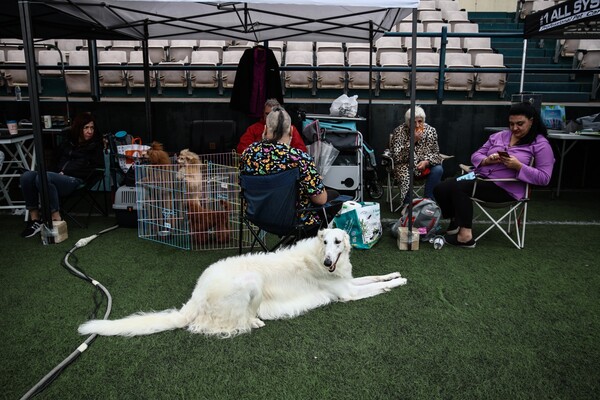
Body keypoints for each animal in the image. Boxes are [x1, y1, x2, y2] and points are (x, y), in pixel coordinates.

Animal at [78, 228, 408, 338]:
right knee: (227, 325)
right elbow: (375, 287)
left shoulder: (348, 282)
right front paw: (401, 280)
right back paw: (255, 321)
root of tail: (195, 296)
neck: (316, 256)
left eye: (337, 242)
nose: (328, 263)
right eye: (324, 241)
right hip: (250, 283)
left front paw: (395, 273)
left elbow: (375, 277)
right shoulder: (347, 293)